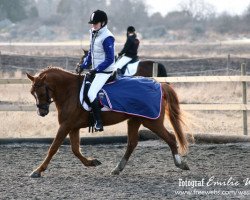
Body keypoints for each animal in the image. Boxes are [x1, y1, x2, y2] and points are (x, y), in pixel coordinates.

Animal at [26, 67, 188, 178]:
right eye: (32, 93)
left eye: (41, 92)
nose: (41, 112)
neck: (69, 91)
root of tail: (160, 85)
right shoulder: (72, 127)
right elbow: (75, 149)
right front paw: (91, 162)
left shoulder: (65, 126)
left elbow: (53, 148)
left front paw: (37, 171)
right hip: (135, 120)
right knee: (132, 143)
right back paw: (117, 168)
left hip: (152, 122)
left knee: (170, 138)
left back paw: (180, 163)